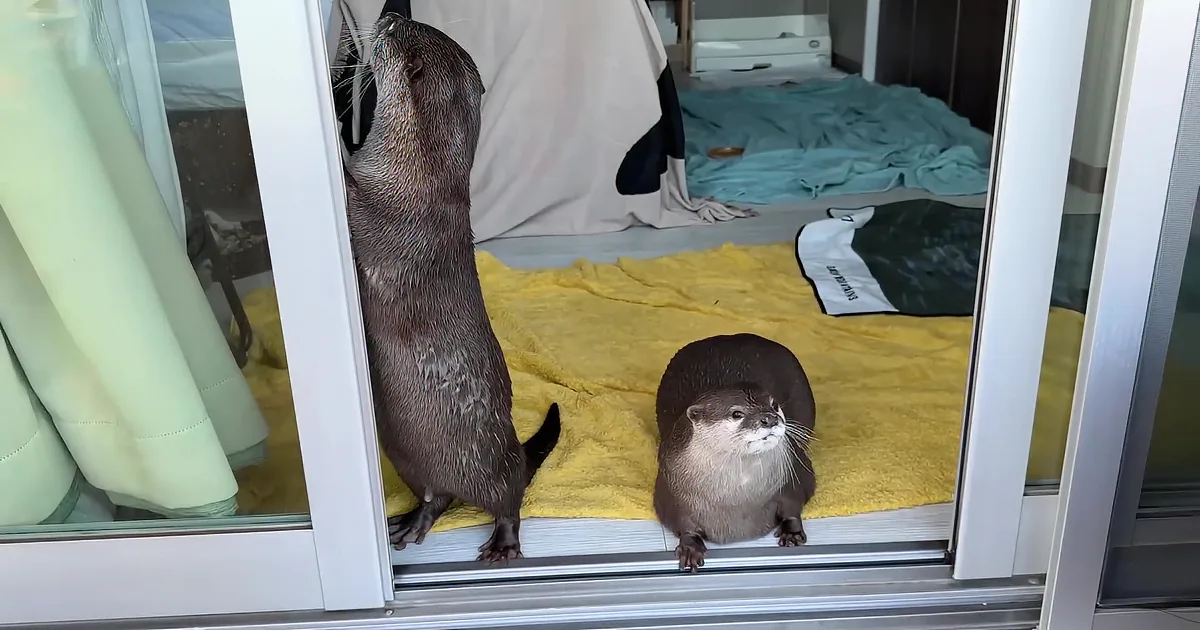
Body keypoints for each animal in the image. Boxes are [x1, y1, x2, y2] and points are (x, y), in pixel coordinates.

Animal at [342, 13, 560, 563]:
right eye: (406, 19)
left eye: (395, 31)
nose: (387, 15)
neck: (413, 174)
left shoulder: (382, 211)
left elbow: (354, 197)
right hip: (413, 463)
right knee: (435, 497)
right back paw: (411, 524)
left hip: (494, 467)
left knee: (510, 499)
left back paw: (503, 543)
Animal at [653, 333, 817, 572]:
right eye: (737, 413)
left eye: (774, 405)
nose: (769, 418)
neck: (737, 498)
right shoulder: (670, 492)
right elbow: (680, 522)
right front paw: (690, 547)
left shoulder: (794, 473)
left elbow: (794, 503)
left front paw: (792, 532)